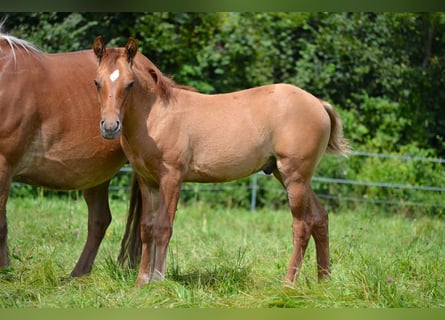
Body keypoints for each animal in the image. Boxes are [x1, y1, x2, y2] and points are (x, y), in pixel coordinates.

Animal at [93, 36, 348, 286]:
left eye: (130, 83)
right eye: (97, 82)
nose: (110, 127)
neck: (157, 116)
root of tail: (318, 103)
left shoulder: (172, 178)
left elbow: (163, 227)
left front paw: (158, 281)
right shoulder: (148, 181)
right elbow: (147, 228)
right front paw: (141, 283)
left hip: (295, 177)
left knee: (302, 225)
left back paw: (288, 284)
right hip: (289, 176)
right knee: (320, 218)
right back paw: (324, 282)